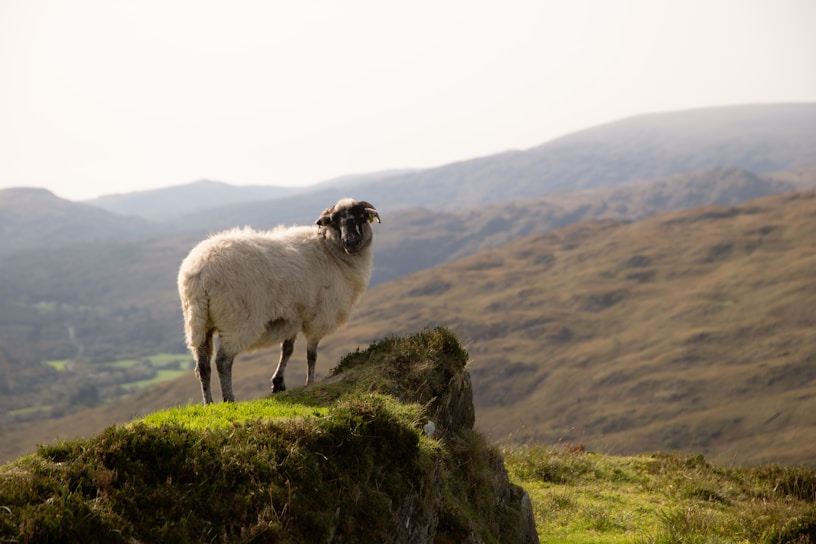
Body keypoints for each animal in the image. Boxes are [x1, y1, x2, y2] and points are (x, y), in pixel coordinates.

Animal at [177, 198, 380, 405]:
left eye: (361, 216)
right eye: (334, 220)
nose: (351, 242)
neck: (332, 253)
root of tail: (200, 272)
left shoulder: (293, 316)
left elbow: (287, 349)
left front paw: (278, 383)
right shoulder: (317, 318)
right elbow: (311, 355)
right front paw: (310, 382)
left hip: (198, 323)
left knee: (203, 365)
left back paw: (208, 403)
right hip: (237, 321)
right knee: (223, 361)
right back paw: (229, 399)